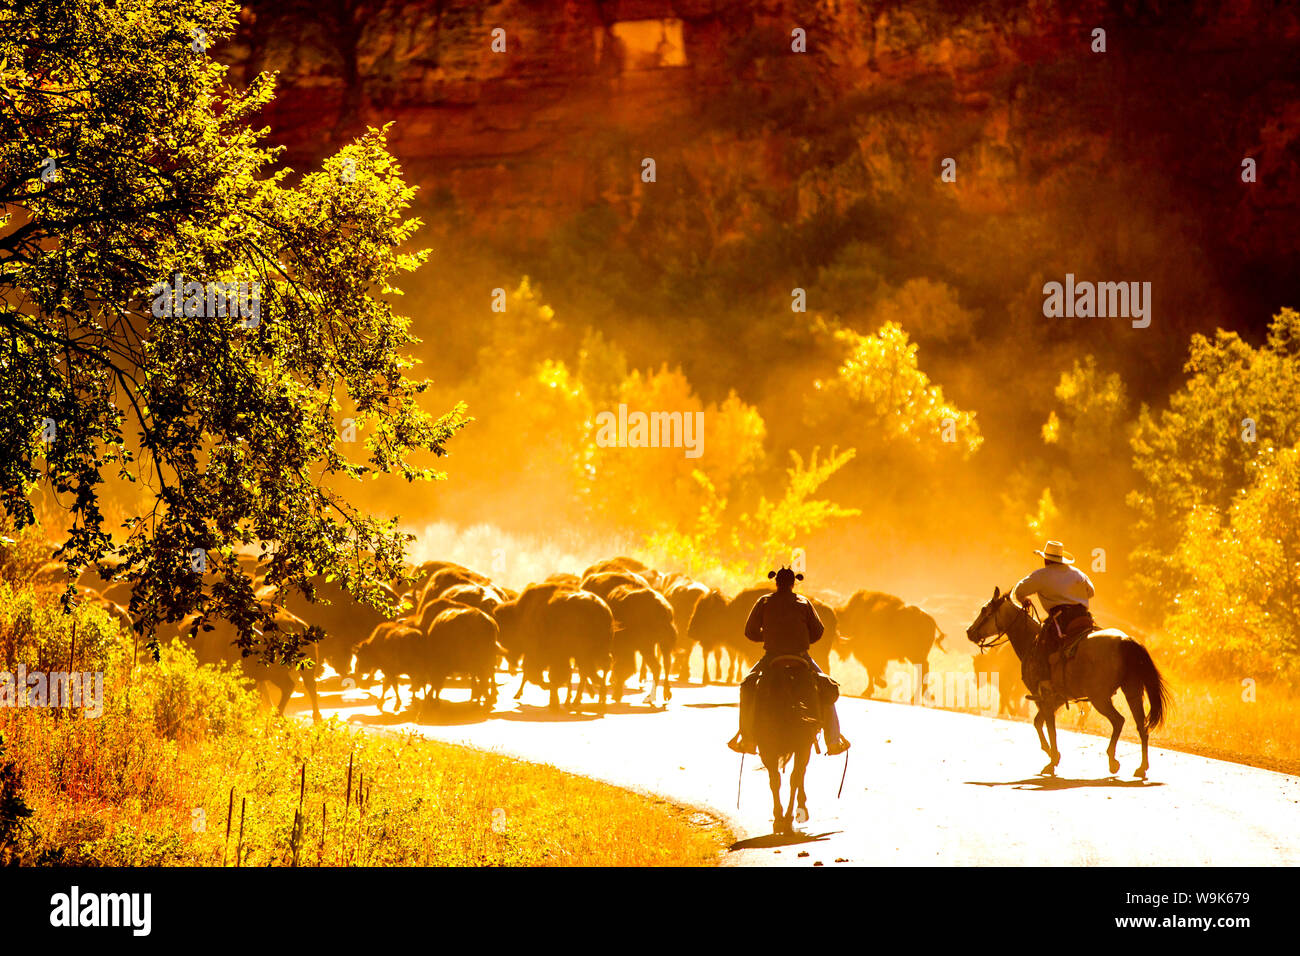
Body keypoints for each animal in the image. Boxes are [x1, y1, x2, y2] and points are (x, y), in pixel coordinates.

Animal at [754, 658, 821, 832]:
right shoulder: (804, 746)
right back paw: (788, 819)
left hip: (771, 747)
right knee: (792, 777)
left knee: (778, 779)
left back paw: (781, 819)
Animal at [967, 587, 1170, 780]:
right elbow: (1038, 722)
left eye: (985, 610)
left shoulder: (1044, 699)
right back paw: (1142, 767)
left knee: (1118, 721)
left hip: (1100, 698)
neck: (1031, 642)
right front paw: (1052, 755)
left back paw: (1113, 761)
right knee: (1141, 727)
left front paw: (1052, 760)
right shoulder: (1055, 700)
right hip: (1132, 691)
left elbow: (1049, 728)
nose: (969, 632)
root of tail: (1127, 641)